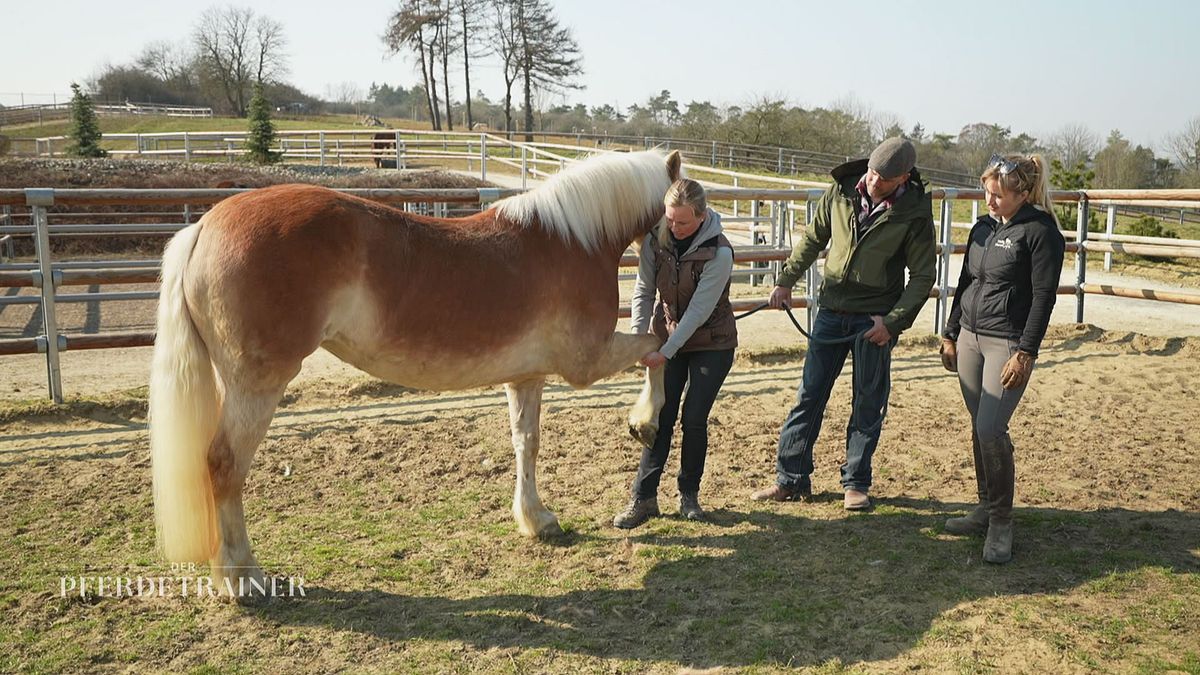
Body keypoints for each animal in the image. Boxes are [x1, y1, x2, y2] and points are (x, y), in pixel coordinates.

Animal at [147, 149, 676, 595]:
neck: (571, 239)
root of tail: (204, 227)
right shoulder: (588, 361)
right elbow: (658, 348)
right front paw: (644, 422)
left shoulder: (527, 376)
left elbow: (526, 443)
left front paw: (536, 518)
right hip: (257, 384)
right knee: (224, 465)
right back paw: (243, 577)